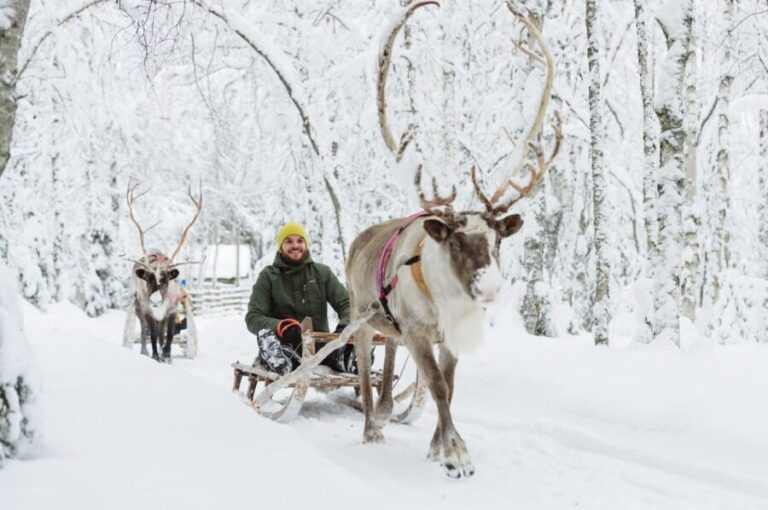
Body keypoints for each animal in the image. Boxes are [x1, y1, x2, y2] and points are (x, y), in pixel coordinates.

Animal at [126, 179, 203, 363]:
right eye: (147, 278)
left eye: (166, 279)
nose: (155, 301)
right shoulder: (147, 310)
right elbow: (152, 334)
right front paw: (155, 355)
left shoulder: (172, 310)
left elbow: (168, 336)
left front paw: (166, 355)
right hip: (138, 306)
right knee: (144, 330)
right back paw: (145, 351)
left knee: (162, 333)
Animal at [345, 1, 562, 478]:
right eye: (456, 244)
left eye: (498, 242)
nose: (492, 290)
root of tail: (359, 239)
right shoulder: (418, 332)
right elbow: (437, 387)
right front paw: (456, 454)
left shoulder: (448, 335)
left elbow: (448, 384)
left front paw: (436, 446)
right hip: (359, 315)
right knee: (367, 369)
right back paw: (371, 427)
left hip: (390, 325)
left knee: (388, 357)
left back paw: (386, 410)